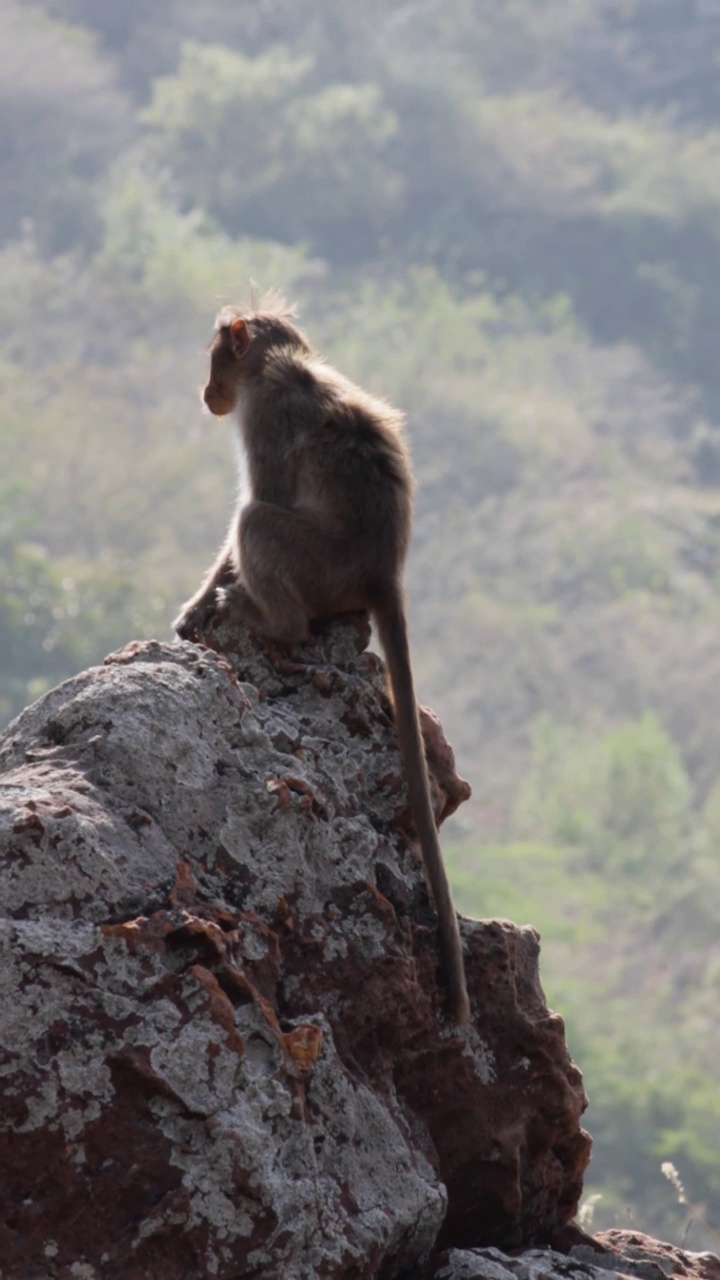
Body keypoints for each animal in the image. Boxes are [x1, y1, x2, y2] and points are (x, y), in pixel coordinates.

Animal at [170, 294, 468, 1024]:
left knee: (258, 524)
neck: (277, 366)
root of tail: (382, 573)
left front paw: (200, 604)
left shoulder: (266, 416)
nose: (206, 393)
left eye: (216, 360)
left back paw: (266, 618)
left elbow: (264, 499)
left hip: (318, 567)